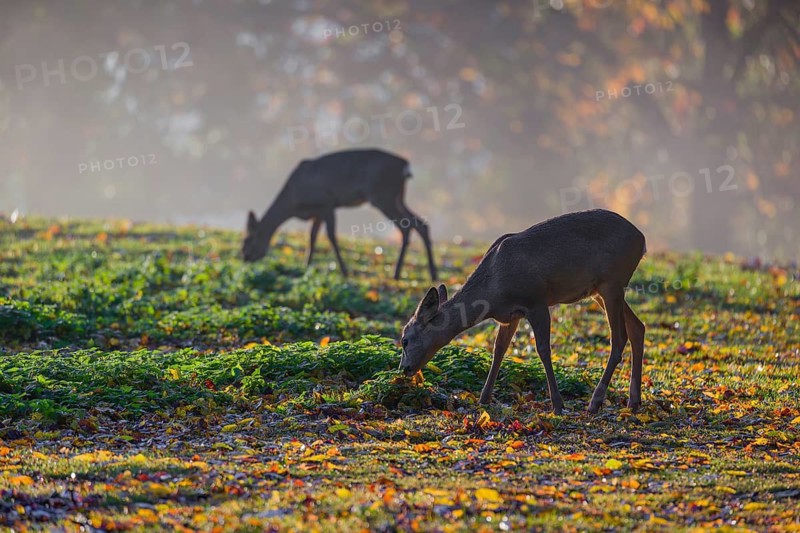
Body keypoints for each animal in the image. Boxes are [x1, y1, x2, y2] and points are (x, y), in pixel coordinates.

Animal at [242, 149, 437, 281]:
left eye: (248, 240)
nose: (245, 257)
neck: (293, 203)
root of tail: (405, 166)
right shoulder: (317, 212)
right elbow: (312, 237)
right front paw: (306, 265)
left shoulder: (327, 203)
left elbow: (331, 236)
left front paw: (344, 271)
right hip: (398, 196)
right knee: (421, 223)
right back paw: (431, 274)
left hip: (383, 194)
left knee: (406, 226)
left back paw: (397, 273)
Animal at [399, 209, 646, 414]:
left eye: (405, 340)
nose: (404, 369)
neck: (494, 289)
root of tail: (642, 240)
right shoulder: (510, 315)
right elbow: (499, 349)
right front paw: (483, 399)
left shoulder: (536, 301)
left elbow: (543, 350)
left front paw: (557, 404)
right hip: (600, 290)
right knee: (638, 327)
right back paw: (633, 402)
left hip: (612, 282)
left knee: (619, 338)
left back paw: (595, 403)